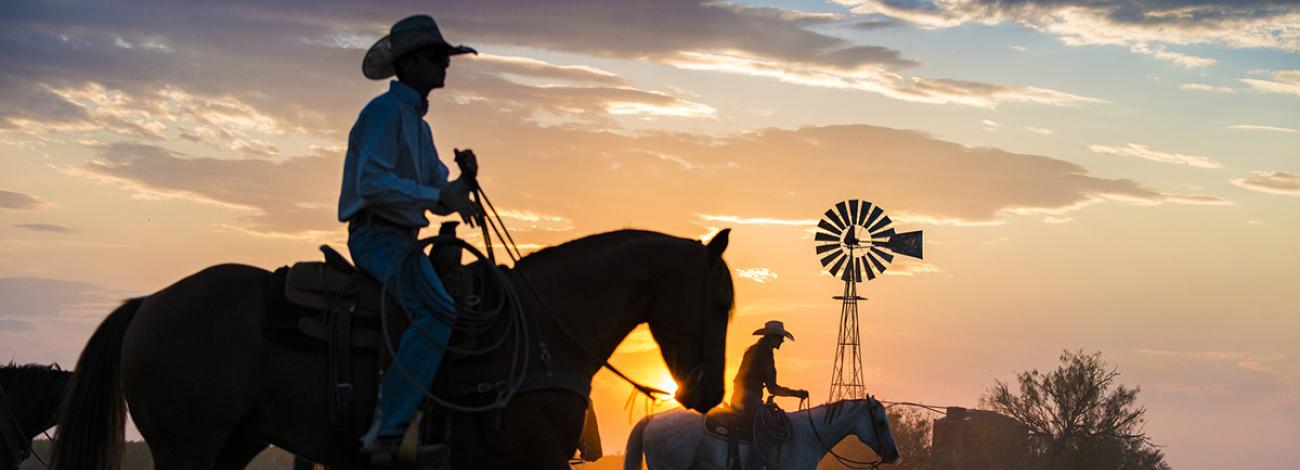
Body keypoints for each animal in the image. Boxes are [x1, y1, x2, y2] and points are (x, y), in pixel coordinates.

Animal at [55, 229, 738, 467]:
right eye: (722, 303)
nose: (708, 393)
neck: (543, 331)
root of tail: (149, 302)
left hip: (235, 441)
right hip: (185, 445)